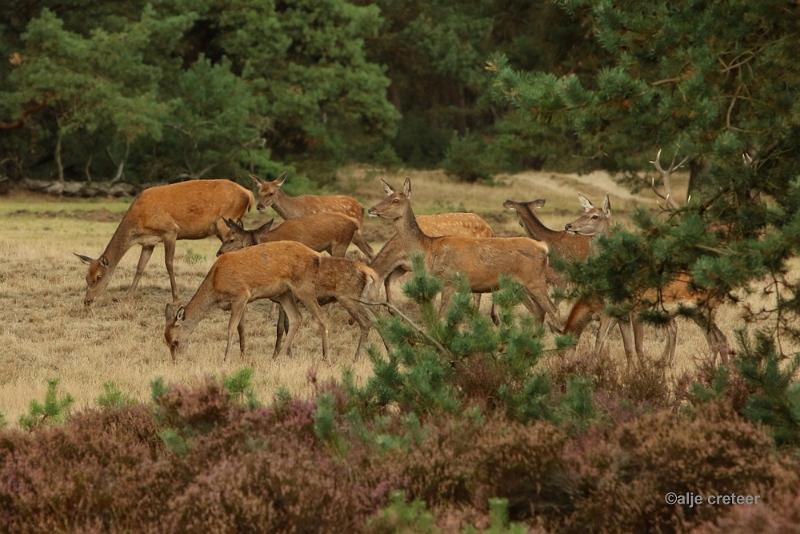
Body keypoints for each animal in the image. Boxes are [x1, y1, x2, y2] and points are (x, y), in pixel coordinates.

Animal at [76, 179, 253, 306]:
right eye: (86, 277)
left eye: (98, 277)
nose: (87, 301)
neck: (139, 221)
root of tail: (249, 194)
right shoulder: (148, 242)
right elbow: (140, 268)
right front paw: (128, 297)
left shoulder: (170, 231)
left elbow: (169, 264)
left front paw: (176, 298)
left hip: (225, 222)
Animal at [164, 243, 330, 364]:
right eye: (166, 342)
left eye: (176, 342)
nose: (175, 362)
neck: (216, 285)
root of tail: (317, 255)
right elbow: (241, 328)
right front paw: (241, 356)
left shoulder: (241, 295)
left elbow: (231, 328)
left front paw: (226, 359)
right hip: (283, 293)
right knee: (297, 318)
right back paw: (278, 358)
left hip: (304, 287)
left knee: (321, 317)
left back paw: (326, 359)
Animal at [217, 213, 358, 258]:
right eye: (223, 238)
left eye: (231, 239)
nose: (218, 253)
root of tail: (354, 224)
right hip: (330, 248)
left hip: (341, 245)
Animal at [368, 179, 560, 326]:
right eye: (386, 196)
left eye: (395, 200)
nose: (371, 209)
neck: (429, 248)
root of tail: (543, 247)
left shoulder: (449, 281)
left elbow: (441, 319)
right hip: (519, 286)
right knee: (539, 312)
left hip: (535, 280)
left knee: (553, 311)